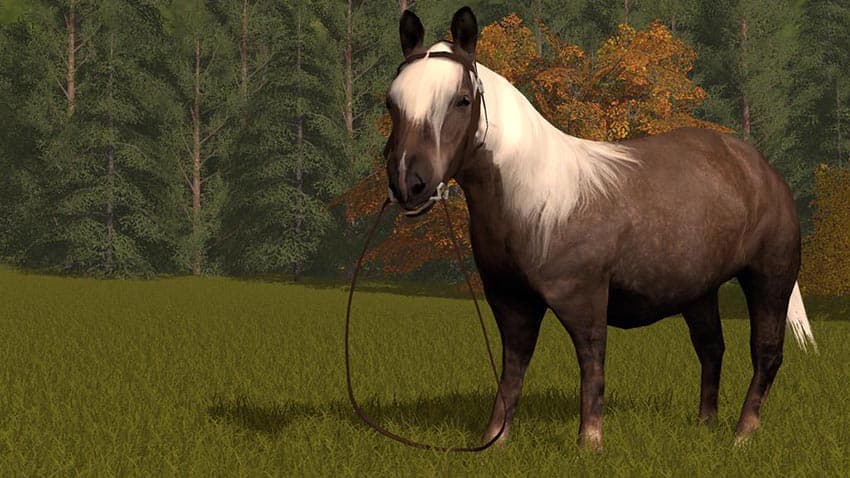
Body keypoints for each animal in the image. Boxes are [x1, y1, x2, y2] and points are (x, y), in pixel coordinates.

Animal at [383, 7, 817, 450]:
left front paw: (589, 443)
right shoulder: (510, 301)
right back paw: (705, 425)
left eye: (462, 100)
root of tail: (758, 165)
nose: (407, 183)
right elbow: (512, 371)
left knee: (766, 352)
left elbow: (592, 364)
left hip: (769, 276)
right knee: (711, 347)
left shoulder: (585, 297)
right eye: (391, 102)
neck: (538, 201)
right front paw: (495, 440)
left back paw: (743, 434)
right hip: (699, 289)